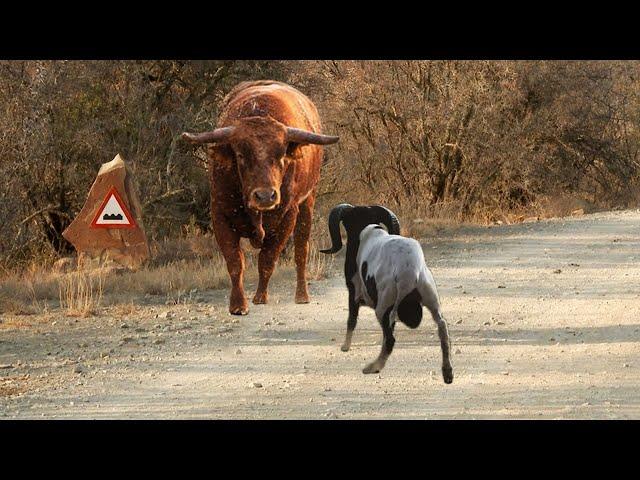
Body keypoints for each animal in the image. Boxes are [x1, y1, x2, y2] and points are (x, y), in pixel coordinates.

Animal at [181, 80, 338, 316]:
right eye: (240, 155)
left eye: (281, 154)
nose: (265, 196)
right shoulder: (220, 216)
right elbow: (235, 262)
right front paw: (238, 304)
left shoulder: (287, 217)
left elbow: (267, 259)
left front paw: (260, 297)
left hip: (307, 203)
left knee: (301, 249)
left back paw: (302, 295)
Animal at [322, 203, 452, 382]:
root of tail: (409, 270)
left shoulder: (353, 291)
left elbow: (351, 320)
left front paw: (345, 346)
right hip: (431, 299)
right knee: (442, 328)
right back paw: (448, 372)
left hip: (383, 306)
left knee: (390, 339)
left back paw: (373, 367)